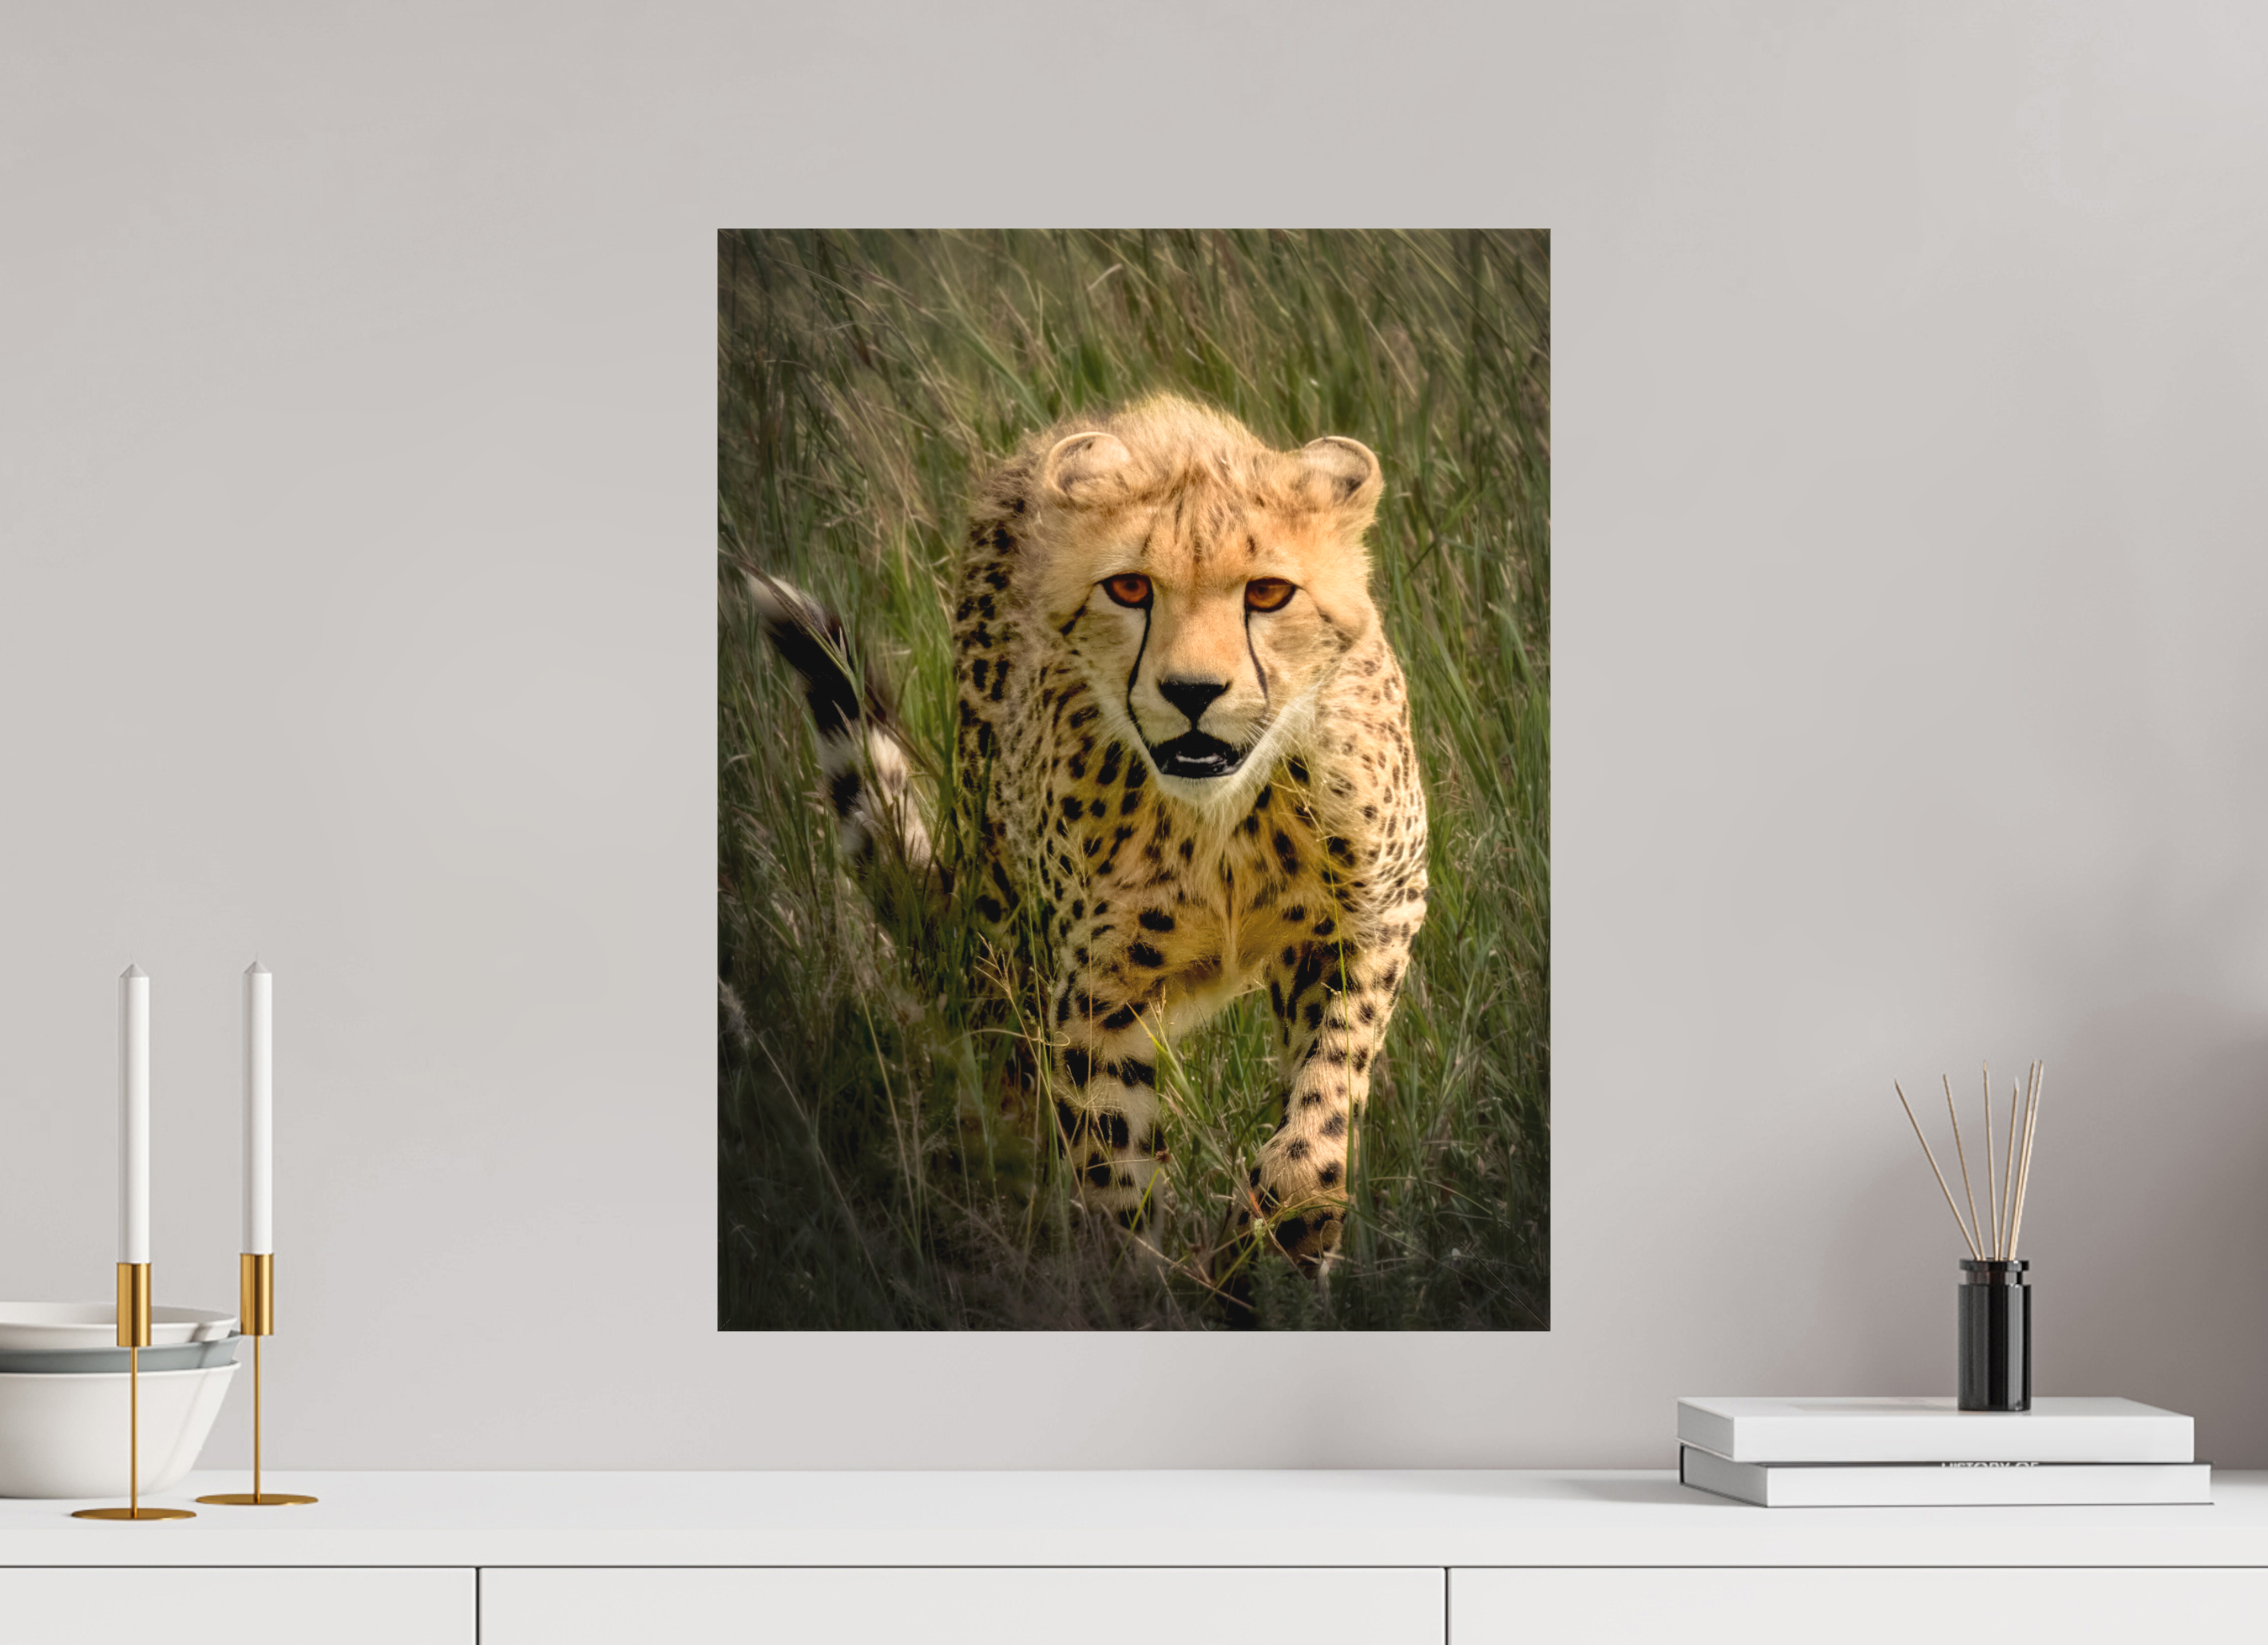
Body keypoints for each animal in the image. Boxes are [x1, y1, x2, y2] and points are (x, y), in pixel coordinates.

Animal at [746, 394, 1428, 1271]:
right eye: (1129, 588)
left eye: (1270, 592)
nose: (1193, 691)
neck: (1221, 816)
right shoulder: (1096, 991)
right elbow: (1112, 1162)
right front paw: (1137, 1279)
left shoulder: (1372, 916)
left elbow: (1325, 1099)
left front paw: (1281, 1223)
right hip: (1007, 932)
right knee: (1011, 1079)